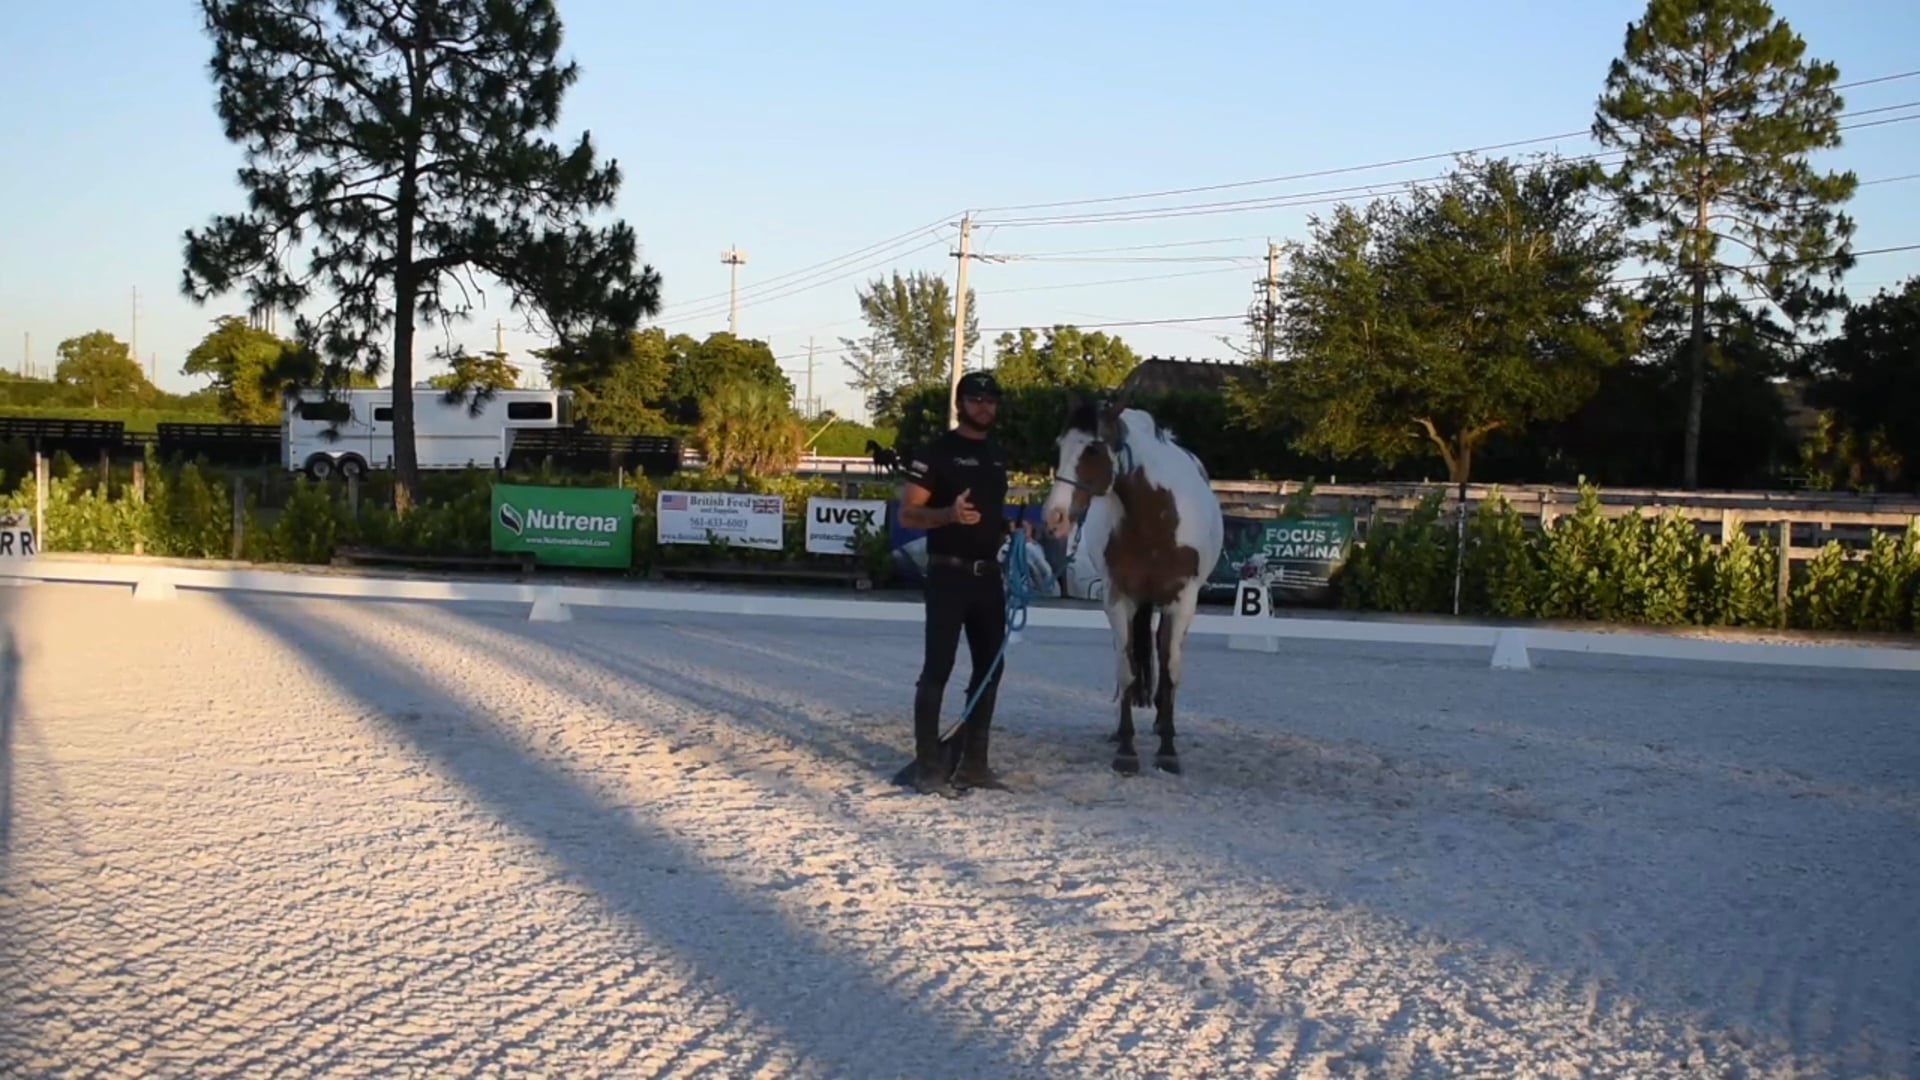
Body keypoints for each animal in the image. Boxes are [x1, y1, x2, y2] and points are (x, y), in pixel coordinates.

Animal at [1041, 394, 1225, 775]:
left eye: (1093, 449)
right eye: (1060, 446)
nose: (1054, 517)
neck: (1158, 516)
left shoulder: (1183, 601)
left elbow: (1170, 670)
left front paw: (1168, 749)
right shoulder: (1118, 598)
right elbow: (1125, 669)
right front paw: (1126, 749)